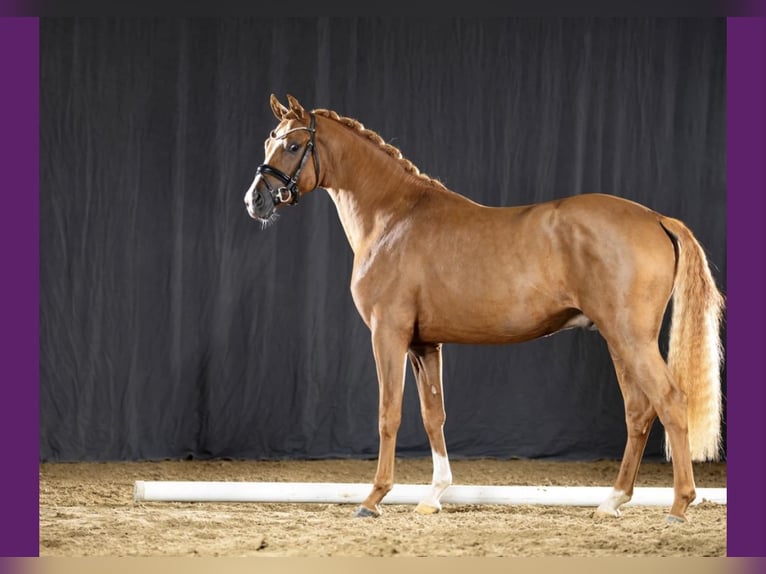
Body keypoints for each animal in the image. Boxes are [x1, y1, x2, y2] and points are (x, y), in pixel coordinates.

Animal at [244, 94, 724, 523]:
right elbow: (433, 415)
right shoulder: (424, 345)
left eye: (292, 145)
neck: (394, 218)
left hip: (630, 338)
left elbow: (389, 414)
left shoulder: (388, 335)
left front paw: (374, 497)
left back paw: (680, 505)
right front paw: (433, 496)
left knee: (670, 401)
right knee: (639, 411)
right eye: (269, 140)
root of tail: (656, 218)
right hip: (617, 339)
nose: (255, 201)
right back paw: (612, 501)